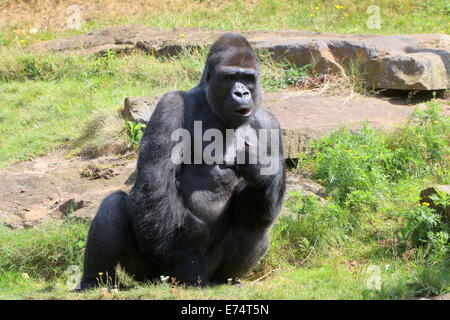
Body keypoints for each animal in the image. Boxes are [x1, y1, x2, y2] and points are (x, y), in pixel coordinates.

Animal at [78, 33, 284, 290]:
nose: (242, 93)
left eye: (247, 78)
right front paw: (188, 263)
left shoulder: (271, 124)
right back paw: (93, 280)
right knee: (115, 203)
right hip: (152, 274)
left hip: (213, 271)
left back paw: (227, 279)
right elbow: (156, 183)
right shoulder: (170, 104)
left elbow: (262, 204)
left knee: (254, 219)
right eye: (230, 78)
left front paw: (260, 169)